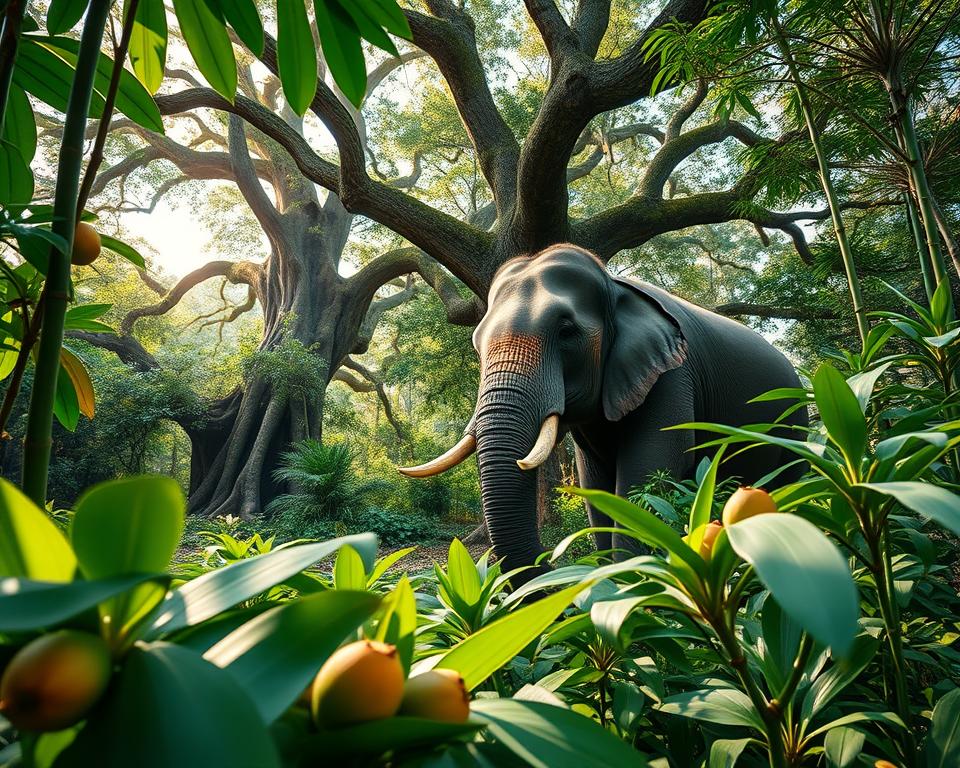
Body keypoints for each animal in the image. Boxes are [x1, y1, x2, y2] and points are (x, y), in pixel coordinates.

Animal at [399, 244, 808, 578]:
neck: (615, 286)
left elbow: (644, 479)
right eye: (476, 342)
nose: (552, 567)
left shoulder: (673, 376)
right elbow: (595, 487)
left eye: (566, 332)